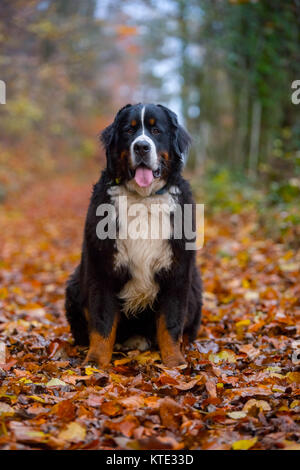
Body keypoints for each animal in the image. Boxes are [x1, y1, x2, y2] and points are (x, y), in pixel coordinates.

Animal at [65, 103, 202, 368]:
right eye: (129, 130)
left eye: (156, 130)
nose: (141, 147)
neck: (143, 199)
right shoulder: (102, 269)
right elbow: (102, 323)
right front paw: (95, 362)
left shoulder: (177, 272)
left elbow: (170, 324)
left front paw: (174, 362)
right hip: (75, 284)